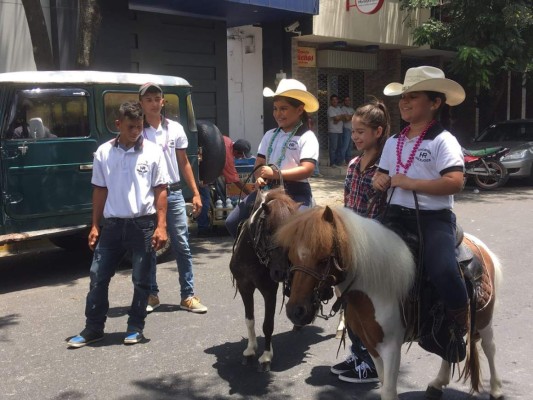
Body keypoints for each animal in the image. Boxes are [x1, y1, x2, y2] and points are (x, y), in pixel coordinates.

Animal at [230, 188, 302, 372]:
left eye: (292, 233)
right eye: (269, 231)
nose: (280, 273)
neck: (253, 258)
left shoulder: (269, 291)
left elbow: (268, 324)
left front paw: (266, 357)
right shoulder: (244, 286)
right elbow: (249, 320)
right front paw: (250, 350)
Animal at [274, 206, 502, 400]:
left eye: (323, 260)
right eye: (292, 256)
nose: (296, 312)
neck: (372, 287)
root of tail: (478, 245)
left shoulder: (391, 347)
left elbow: (389, 391)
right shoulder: (371, 343)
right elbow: (383, 380)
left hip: (484, 317)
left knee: (489, 347)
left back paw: (496, 389)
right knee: (451, 346)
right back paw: (437, 384)